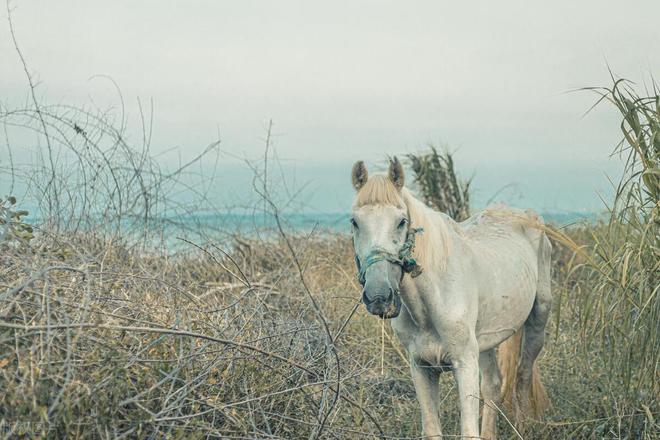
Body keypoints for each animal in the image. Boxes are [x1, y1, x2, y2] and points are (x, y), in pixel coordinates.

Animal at [350, 159, 552, 440]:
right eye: (355, 222)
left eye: (401, 221)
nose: (379, 296)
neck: (433, 300)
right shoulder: (421, 367)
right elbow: (432, 429)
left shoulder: (464, 364)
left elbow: (468, 430)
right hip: (485, 342)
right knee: (493, 384)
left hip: (538, 319)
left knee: (522, 375)